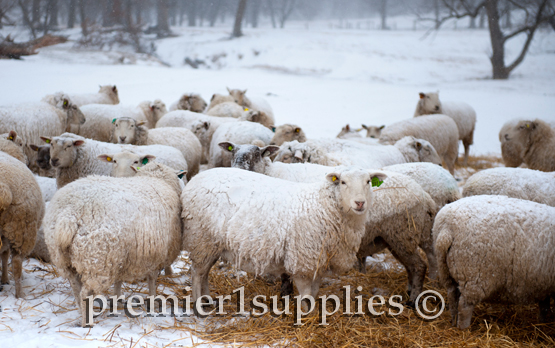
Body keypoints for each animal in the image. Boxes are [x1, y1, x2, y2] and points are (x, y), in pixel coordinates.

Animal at [0, 151, 44, 298]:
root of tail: (4, 189)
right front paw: (5, 279)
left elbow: (4, 256)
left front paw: (4, 279)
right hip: (23, 231)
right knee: (17, 262)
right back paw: (20, 295)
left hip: (19, 230)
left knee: (15, 262)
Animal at [44, 162, 182, 328]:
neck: (156, 179)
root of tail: (68, 216)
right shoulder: (156, 255)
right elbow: (152, 280)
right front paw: (153, 301)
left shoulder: (122, 257)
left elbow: (119, 280)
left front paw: (118, 299)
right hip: (97, 261)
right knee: (85, 294)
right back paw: (87, 323)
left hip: (66, 259)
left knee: (76, 289)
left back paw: (82, 314)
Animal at [182, 167, 386, 304]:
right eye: (343, 182)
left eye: (368, 182)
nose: (359, 203)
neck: (324, 206)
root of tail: (195, 179)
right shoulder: (303, 260)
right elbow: (305, 294)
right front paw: (305, 318)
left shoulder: (318, 263)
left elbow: (314, 292)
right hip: (201, 238)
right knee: (197, 273)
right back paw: (199, 304)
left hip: (210, 244)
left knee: (204, 273)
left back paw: (207, 299)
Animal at [434, 196, 555, 328]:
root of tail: (447, 228)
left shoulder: (543, 285)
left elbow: (544, 306)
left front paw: (542, 322)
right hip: (474, 274)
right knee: (464, 306)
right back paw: (464, 329)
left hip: (447, 270)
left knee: (452, 298)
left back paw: (453, 323)